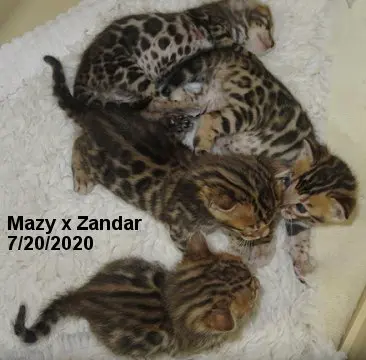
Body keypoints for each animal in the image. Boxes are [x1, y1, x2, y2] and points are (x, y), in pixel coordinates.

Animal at [43, 0, 274, 111]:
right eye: (270, 26)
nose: (273, 44)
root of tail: (82, 73)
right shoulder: (219, 32)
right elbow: (245, 51)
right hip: (128, 70)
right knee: (157, 97)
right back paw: (191, 102)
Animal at [43, 57, 286, 252]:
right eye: (252, 227)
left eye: (272, 220)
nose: (265, 233)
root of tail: (94, 112)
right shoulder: (179, 229)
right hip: (95, 157)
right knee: (78, 143)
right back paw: (82, 177)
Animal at [149, 45, 358, 276]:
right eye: (288, 181)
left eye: (303, 207)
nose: (284, 203)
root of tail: (246, 59)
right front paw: (262, 251)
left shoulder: (297, 217)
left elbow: (299, 234)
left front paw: (301, 258)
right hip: (247, 110)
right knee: (210, 117)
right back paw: (201, 143)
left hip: (209, 97)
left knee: (186, 99)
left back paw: (161, 106)